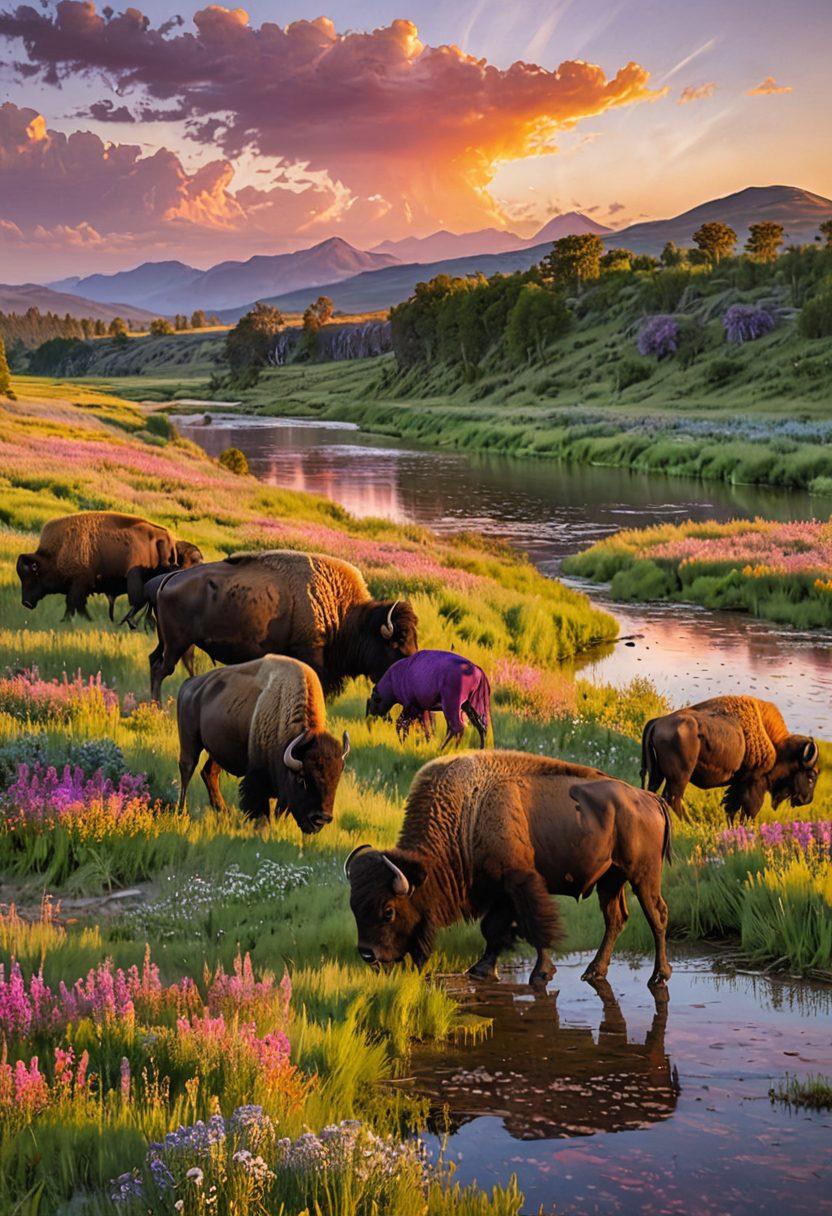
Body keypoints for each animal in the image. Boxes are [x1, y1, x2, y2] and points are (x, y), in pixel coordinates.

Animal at [17, 511, 177, 619]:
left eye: (33, 575)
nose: (26, 603)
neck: (58, 550)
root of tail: (167, 536)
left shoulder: (79, 583)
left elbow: (73, 603)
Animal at [148, 549, 418, 702]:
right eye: (396, 644)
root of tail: (170, 579)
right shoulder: (311, 654)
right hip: (176, 644)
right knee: (162, 669)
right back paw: (157, 707)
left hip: (170, 643)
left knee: (155, 662)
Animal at [176, 655, 349, 833]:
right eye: (302, 780)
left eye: (336, 780)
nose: (321, 818)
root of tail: (189, 683)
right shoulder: (257, 778)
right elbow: (262, 809)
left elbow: (280, 810)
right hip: (190, 742)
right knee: (187, 770)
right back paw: (183, 814)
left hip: (218, 752)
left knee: (208, 772)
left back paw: (224, 813)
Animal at [345, 750, 673, 989]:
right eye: (354, 906)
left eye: (388, 911)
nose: (367, 953)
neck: (468, 814)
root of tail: (650, 798)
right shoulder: (499, 890)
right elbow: (494, 929)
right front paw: (480, 969)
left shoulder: (520, 882)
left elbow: (536, 926)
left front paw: (541, 973)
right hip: (611, 879)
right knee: (615, 919)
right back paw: (594, 972)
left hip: (642, 875)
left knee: (656, 915)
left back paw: (659, 976)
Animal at [641, 695, 819, 821]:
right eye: (810, 777)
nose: (807, 800)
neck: (777, 747)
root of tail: (658, 722)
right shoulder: (754, 784)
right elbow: (749, 810)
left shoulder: (738, 784)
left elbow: (731, 806)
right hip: (680, 776)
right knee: (674, 798)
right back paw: (690, 823)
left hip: (657, 773)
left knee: (655, 791)